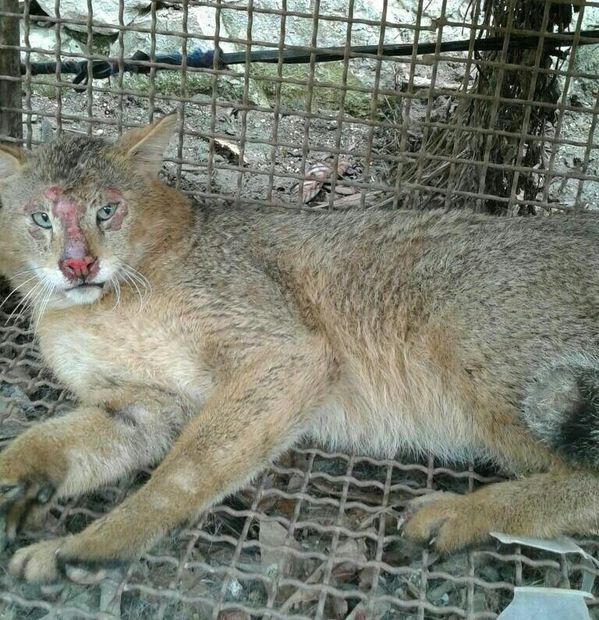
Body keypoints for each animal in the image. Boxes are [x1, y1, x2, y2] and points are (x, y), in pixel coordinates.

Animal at [0, 115, 599, 580]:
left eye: (108, 210)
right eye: (41, 218)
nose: (78, 265)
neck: (95, 308)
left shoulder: (285, 353)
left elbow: (186, 470)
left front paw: (99, 541)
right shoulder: (146, 403)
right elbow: (52, 439)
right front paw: (25, 487)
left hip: (478, 352)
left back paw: (462, 515)